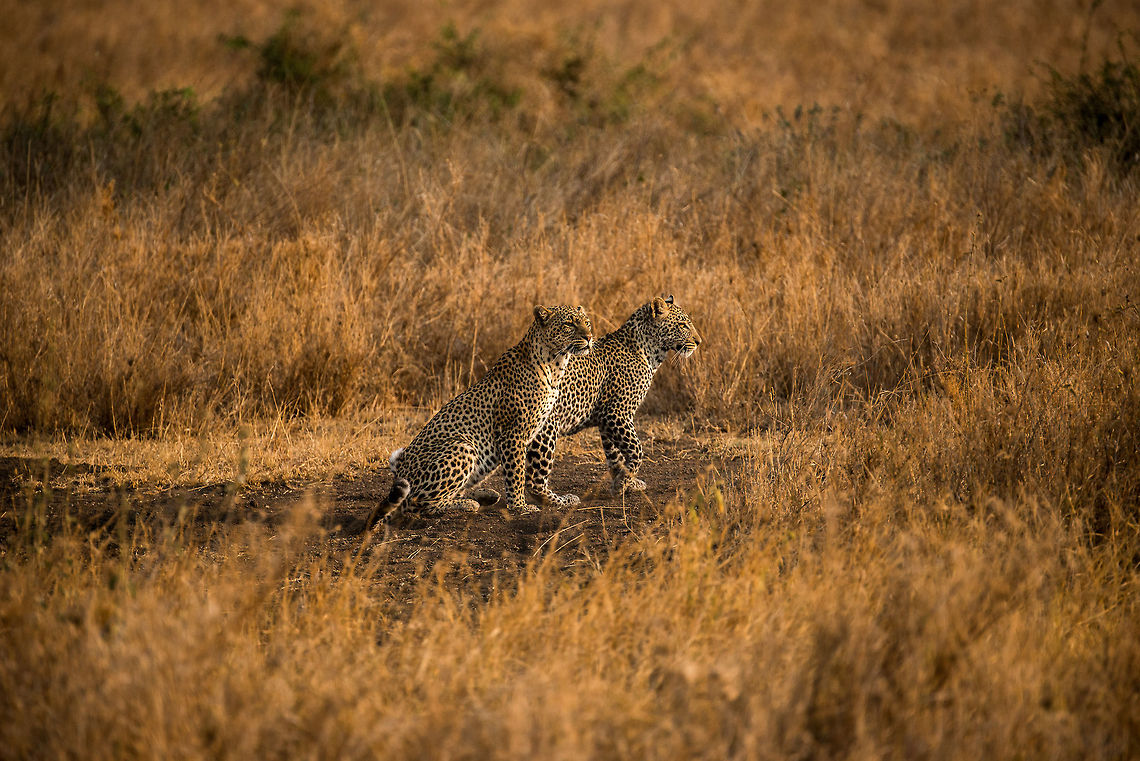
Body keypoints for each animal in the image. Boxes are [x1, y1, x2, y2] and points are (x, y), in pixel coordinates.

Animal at [367, 304, 594, 527]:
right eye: (569, 324)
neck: (555, 365)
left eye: (587, 322)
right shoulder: (513, 432)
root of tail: (400, 473)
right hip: (463, 446)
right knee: (418, 504)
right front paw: (520, 507)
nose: (590, 337)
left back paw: (485, 495)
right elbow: (516, 473)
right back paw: (468, 503)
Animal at [525, 295, 701, 507]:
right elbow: (636, 450)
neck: (650, 353)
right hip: (546, 428)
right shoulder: (617, 413)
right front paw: (621, 484)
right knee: (534, 479)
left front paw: (625, 481)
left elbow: (615, 455)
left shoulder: (607, 420)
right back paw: (560, 500)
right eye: (683, 325)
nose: (699, 342)